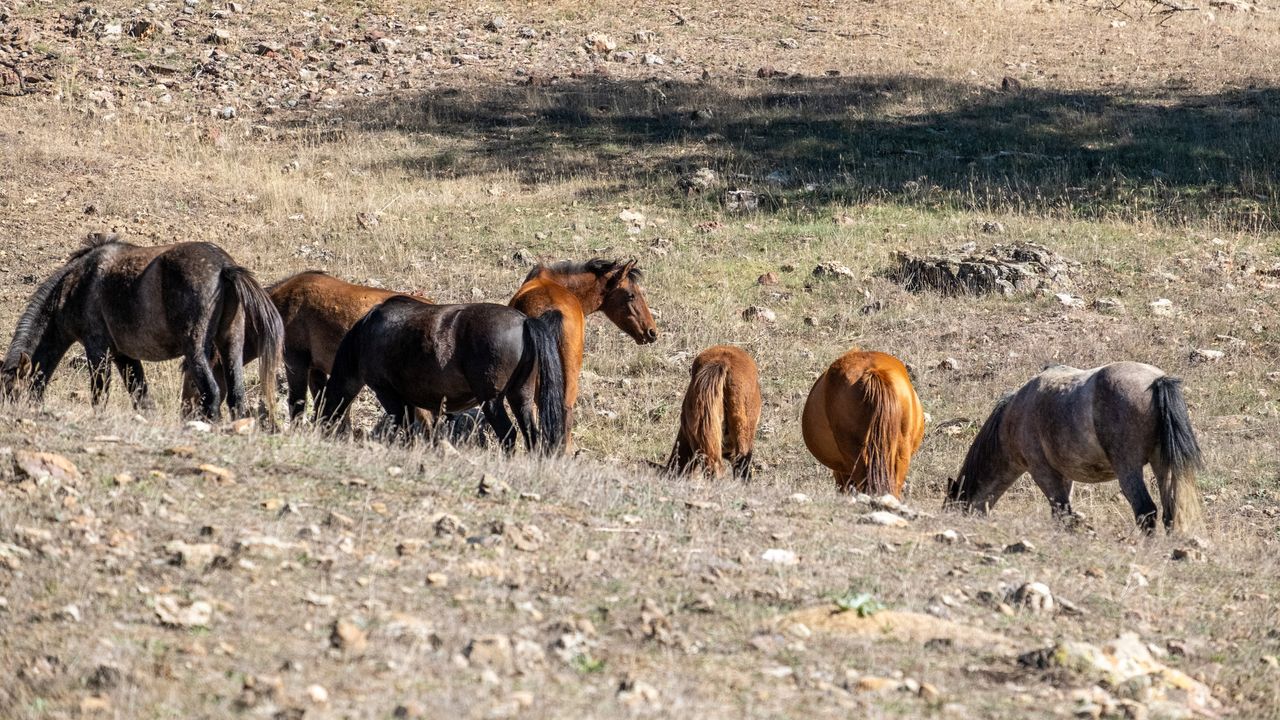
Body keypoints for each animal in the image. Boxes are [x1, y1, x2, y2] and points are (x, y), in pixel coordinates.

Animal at [0, 233, 281, 417]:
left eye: (11, 391)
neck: (74, 287)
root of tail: (225, 267)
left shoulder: (97, 350)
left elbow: (99, 394)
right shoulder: (124, 356)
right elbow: (141, 396)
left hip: (197, 350)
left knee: (211, 393)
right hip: (230, 345)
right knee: (236, 396)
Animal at [316, 297, 565, 448]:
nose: (321, 429)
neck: (365, 335)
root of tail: (524, 322)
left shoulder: (387, 392)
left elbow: (402, 424)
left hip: (492, 401)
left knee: (508, 434)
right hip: (520, 396)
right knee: (531, 435)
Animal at [947, 358, 1203, 532]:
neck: (1012, 418)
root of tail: (1157, 381)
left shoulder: (1043, 472)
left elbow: (1062, 513)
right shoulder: (1064, 476)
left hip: (1128, 468)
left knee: (1146, 511)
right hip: (1162, 466)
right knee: (1170, 511)